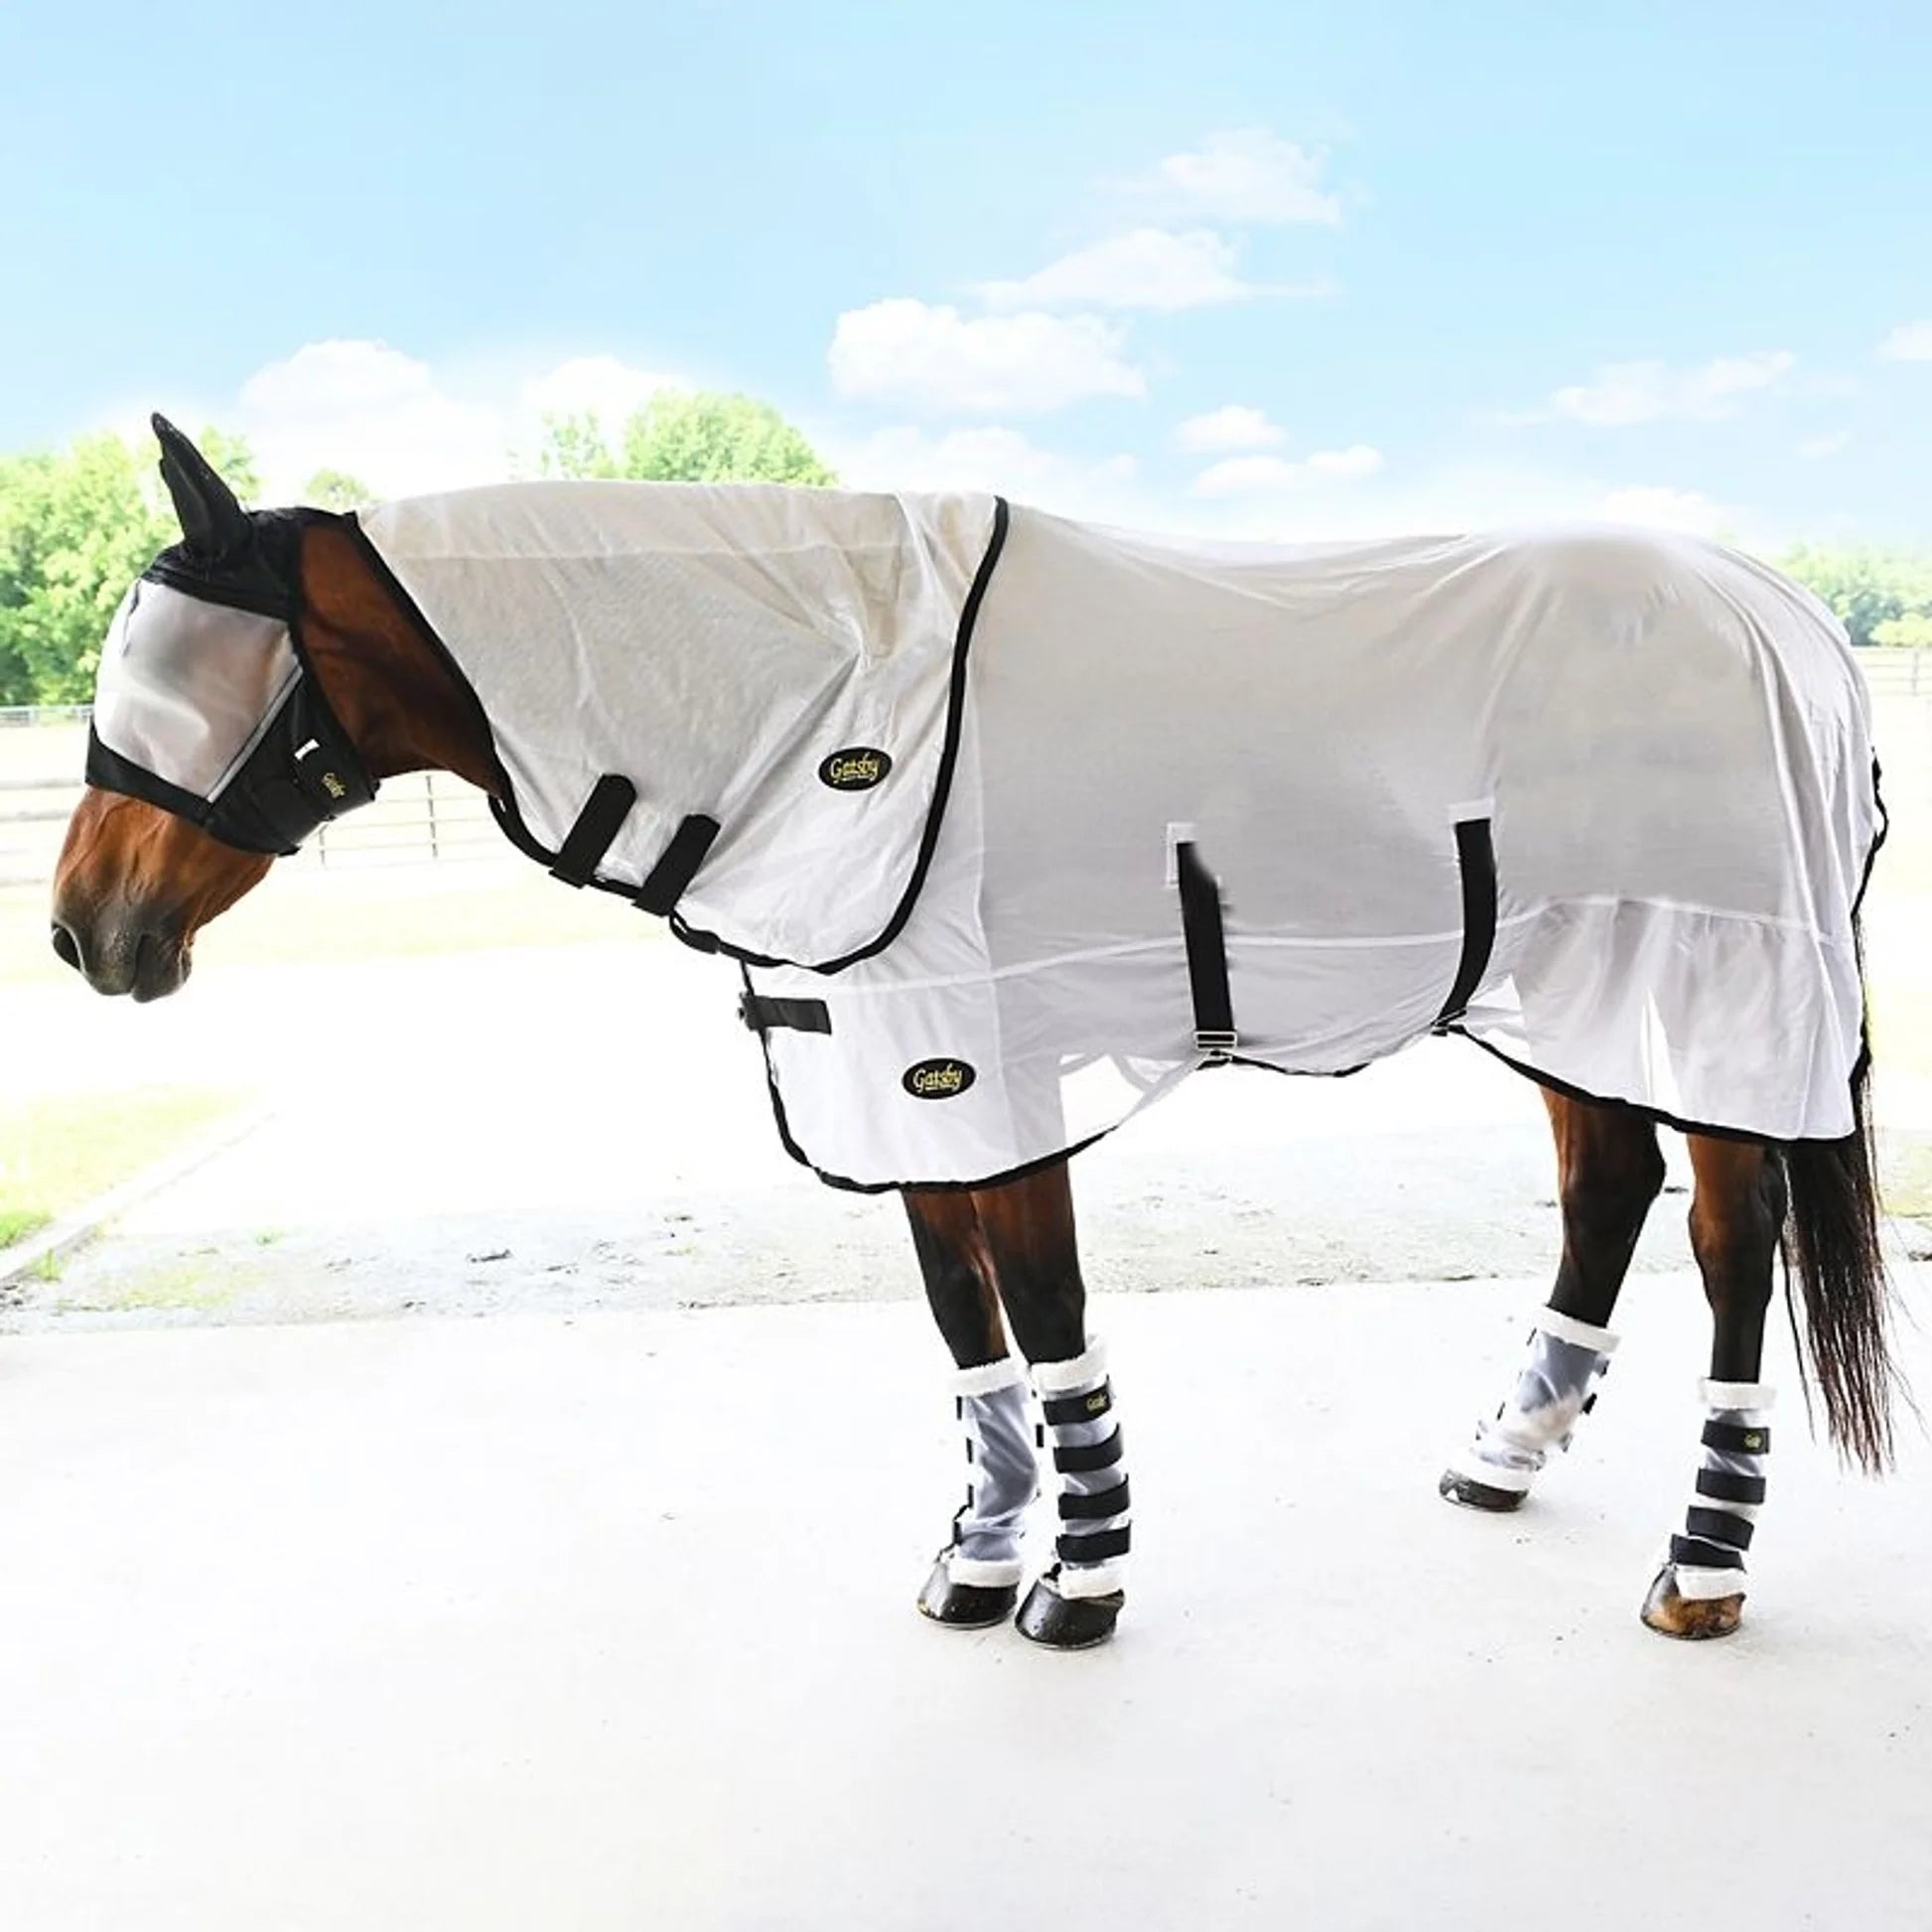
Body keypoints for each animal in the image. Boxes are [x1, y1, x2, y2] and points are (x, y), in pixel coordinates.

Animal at [49, 418, 1898, 1648]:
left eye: (196, 681)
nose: (84, 931)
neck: (823, 696)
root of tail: (1787, 619)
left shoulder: (982, 1070)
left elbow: (1050, 1312)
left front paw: (1081, 1581)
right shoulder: (884, 1076)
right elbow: (966, 1330)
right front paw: (988, 1554)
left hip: (1718, 983)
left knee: (1733, 1239)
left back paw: (1704, 1563)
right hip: (1559, 984)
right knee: (1608, 1187)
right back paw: (1503, 1455)